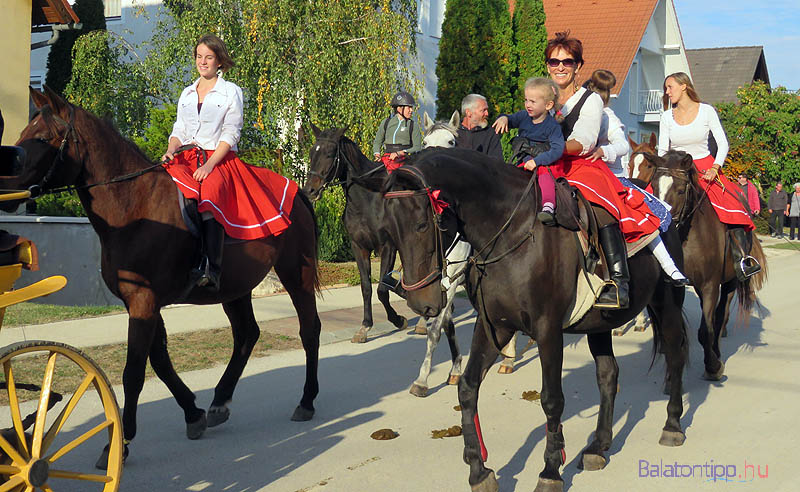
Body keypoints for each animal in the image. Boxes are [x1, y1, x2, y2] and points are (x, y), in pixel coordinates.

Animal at [3, 87, 324, 466]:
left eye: (41, 138)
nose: (6, 185)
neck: (134, 207)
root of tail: (297, 192)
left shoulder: (144, 301)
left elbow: (134, 372)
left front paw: (120, 443)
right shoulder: (142, 301)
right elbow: (159, 361)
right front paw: (193, 414)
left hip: (296, 272)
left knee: (309, 329)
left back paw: (306, 400)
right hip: (235, 288)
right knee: (247, 334)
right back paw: (219, 402)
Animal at [382, 150, 688, 492]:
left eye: (422, 225)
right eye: (389, 230)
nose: (421, 303)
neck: (510, 230)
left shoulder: (548, 330)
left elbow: (552, 399)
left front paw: (550, 471)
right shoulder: (494, 327)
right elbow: (467, 388)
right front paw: (478, 469)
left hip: (665, 303)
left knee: (675, 354)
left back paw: (672, 425)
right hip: (599, 323)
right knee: (608, 374)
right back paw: (598, 446)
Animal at [632, 150, 768, 380]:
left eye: (680, 190)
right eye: (654, 188)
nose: (662, 225)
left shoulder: (710, 285)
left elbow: (706, 329)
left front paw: (713, 366)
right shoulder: (676, 285)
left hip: (731, 281)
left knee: (720, 316)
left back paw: (717, 351)